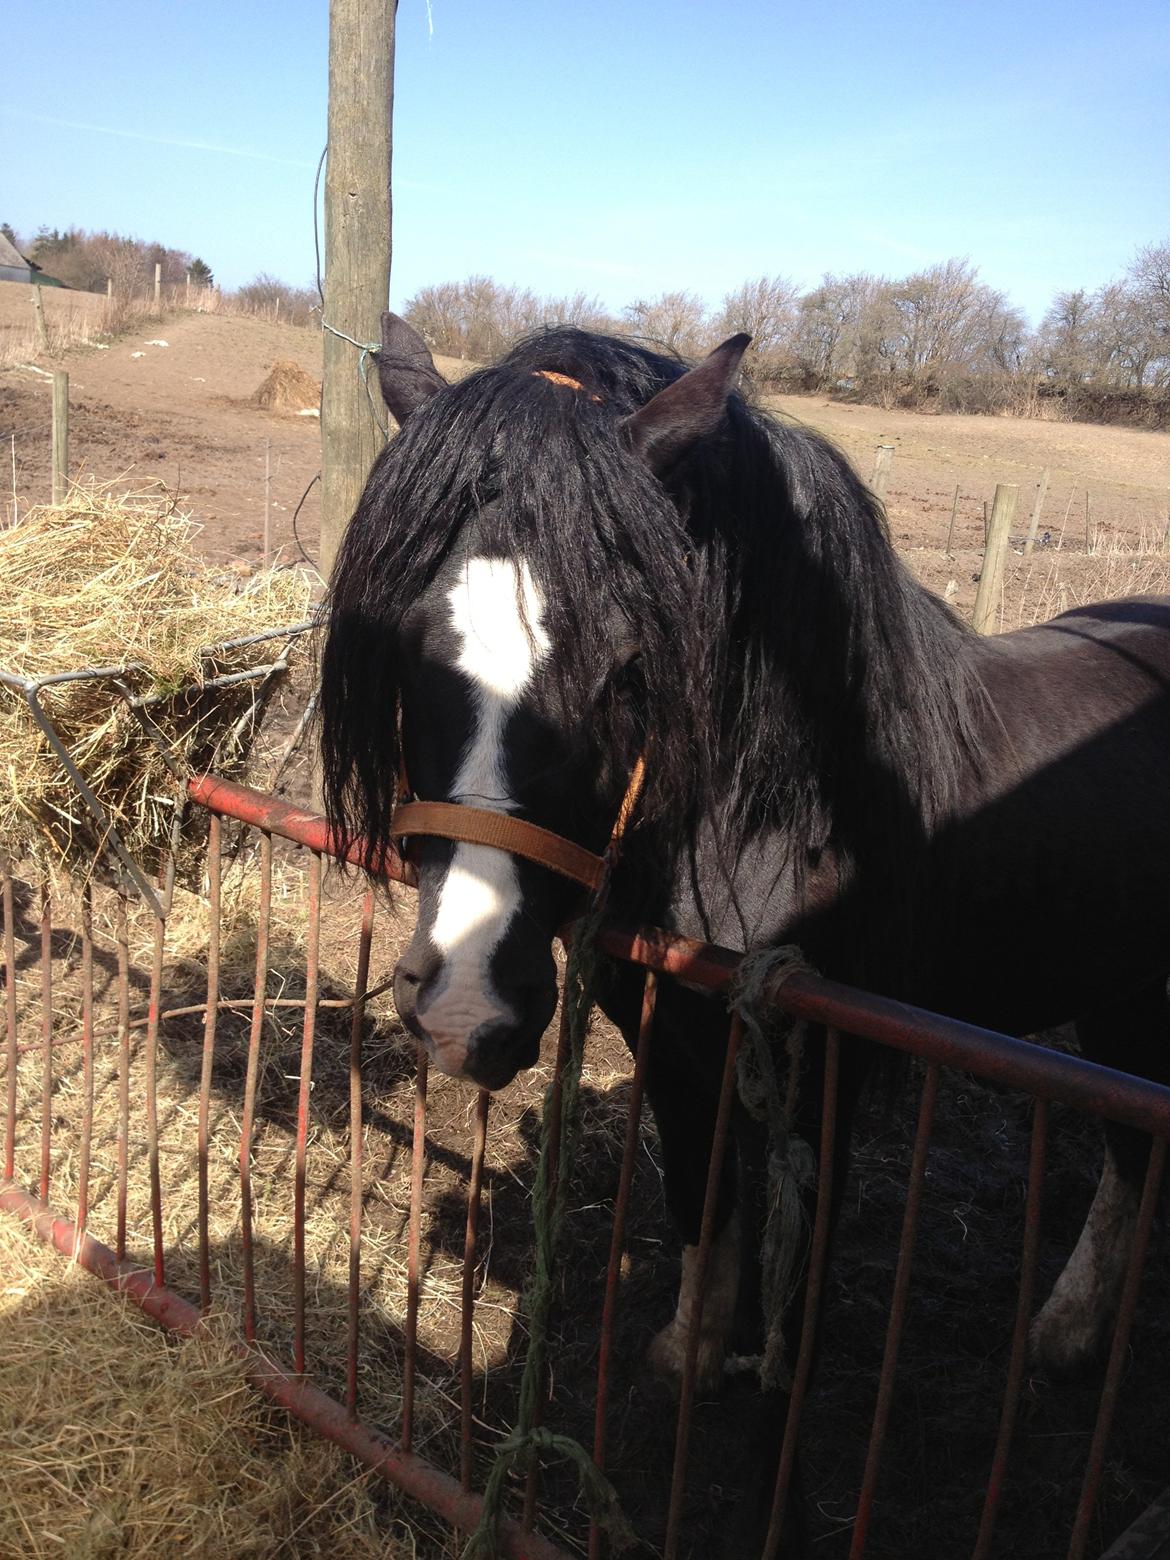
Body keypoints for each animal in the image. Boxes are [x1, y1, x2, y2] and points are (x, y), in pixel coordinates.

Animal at [321, 313, 1170, 1535]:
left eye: (631, 670)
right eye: (403, 647)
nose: (465, 1008)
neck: (788, 812)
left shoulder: (827, 1077)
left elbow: (799, 1302)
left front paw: (777, 1463)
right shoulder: (669, 1039)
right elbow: (697, 1190)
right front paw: (690, 1351)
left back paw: (1068, 1335)